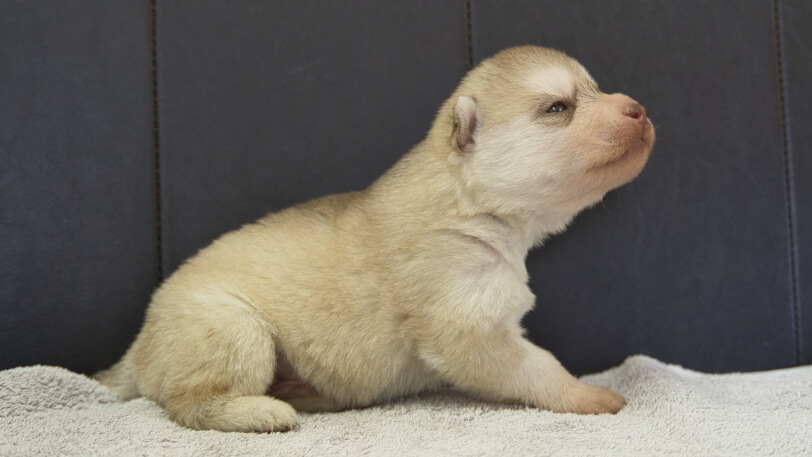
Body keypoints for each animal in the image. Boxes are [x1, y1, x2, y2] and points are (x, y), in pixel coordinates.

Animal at [95, 46, 652, 432]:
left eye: (597, 90)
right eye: (558, 108)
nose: (638, 109)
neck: (471, 201)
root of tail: (136, 349)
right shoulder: (468, 327)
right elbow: (540, 366)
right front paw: (589, 396)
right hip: (232, 327)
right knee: (189, 403)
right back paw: (262, 412)